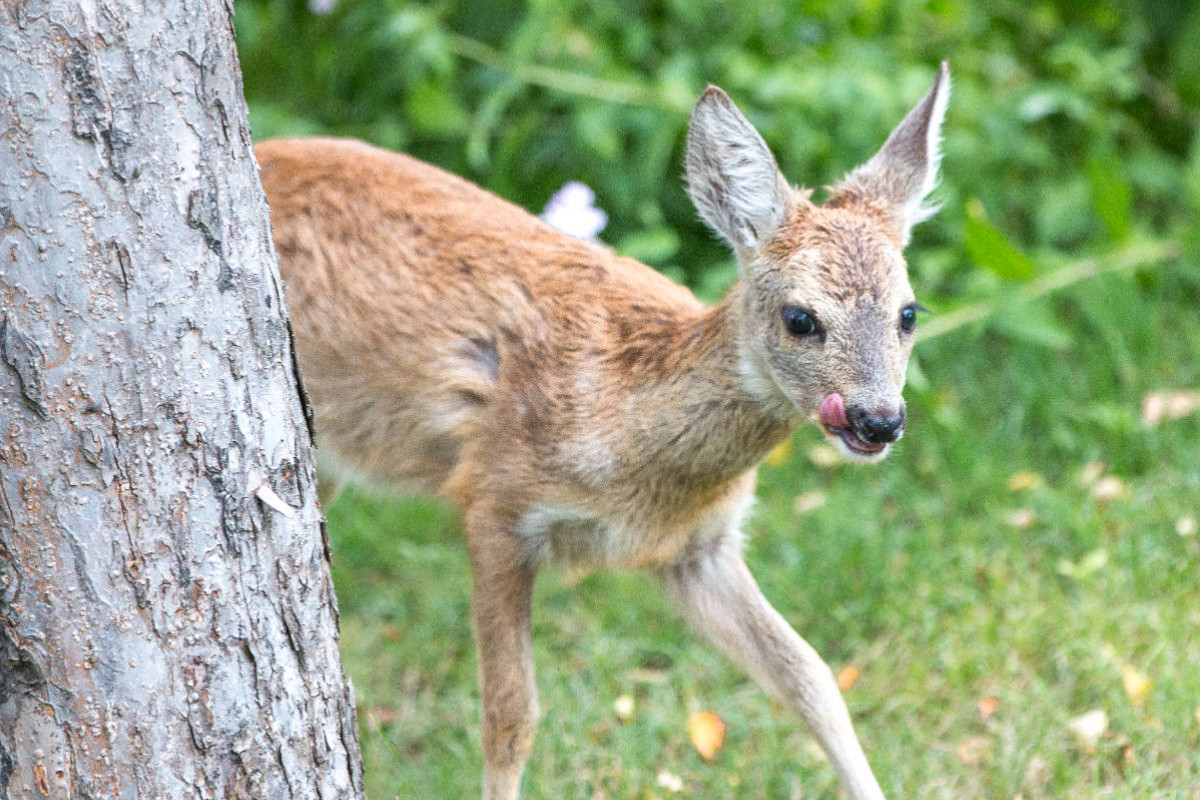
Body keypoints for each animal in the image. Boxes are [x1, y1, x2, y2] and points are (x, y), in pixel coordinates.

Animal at [258, 62, 950, 800]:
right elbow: (510, 716)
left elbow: (810, 677)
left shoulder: (699, 549)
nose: (878, 419)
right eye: (800, 318)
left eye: (910, 312)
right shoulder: (494, 501)